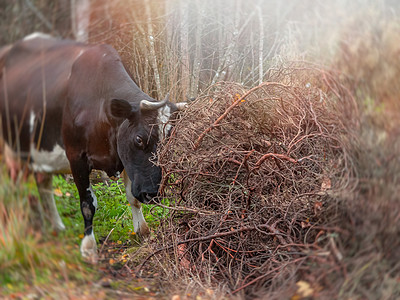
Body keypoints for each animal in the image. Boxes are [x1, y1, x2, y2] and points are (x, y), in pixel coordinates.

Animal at [0, 32, 184, 262]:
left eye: (170, 142)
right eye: (139, 139)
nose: (152, 193)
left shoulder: (125, 159)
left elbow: (132, 198)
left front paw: (143, 232)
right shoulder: (76, 156)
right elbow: (88, 204)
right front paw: (88, 247)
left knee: (42, 183)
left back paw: (54, 225)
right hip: (11, 149)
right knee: (15, 188)